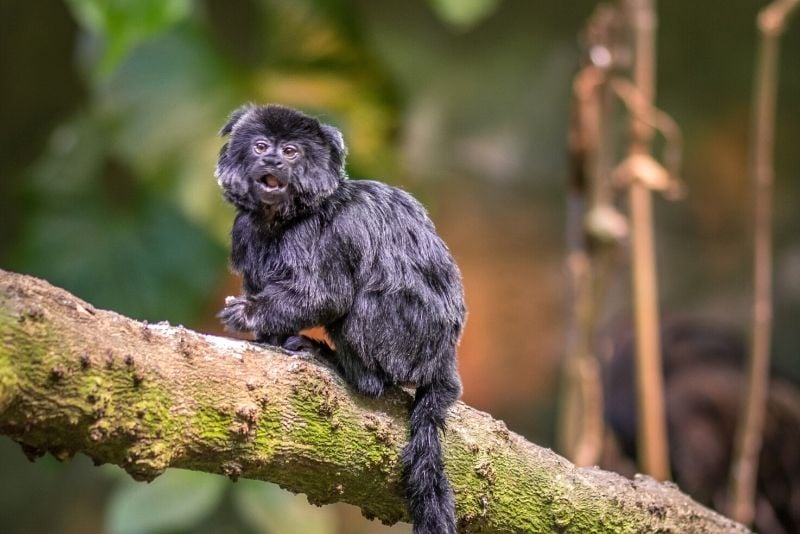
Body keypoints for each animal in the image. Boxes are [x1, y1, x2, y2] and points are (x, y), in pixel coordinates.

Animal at [216, 102, 466, 532]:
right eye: (261, 145)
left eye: (290, 152)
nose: (271, 160)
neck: (283, 218)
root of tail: (444, 359)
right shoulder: (244, 232)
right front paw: (264, 335)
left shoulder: (325, 233)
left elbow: (326, 295)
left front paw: (249, 314)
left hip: (405, 339)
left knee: (361, 313)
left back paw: (339, 362)